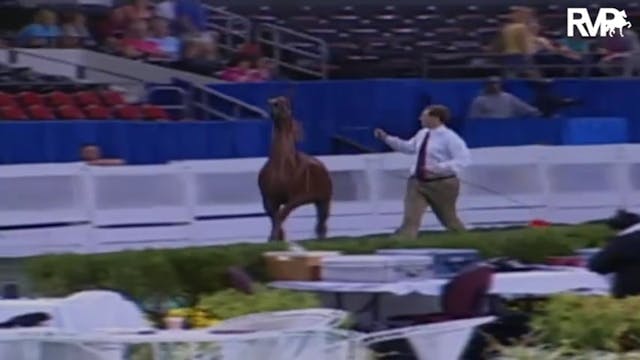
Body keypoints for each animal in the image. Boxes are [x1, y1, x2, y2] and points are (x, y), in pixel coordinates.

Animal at [258, 95, 332, 242]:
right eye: (274, 102)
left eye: (285, 103)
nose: (273, 104)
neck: (281, 167)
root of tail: (321, 165)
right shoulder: (269, 201)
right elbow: (275, 217)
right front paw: (276, 238)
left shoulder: (295, 198)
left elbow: (281, 215)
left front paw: (274, 237)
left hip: (324, 201)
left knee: (321, 224)